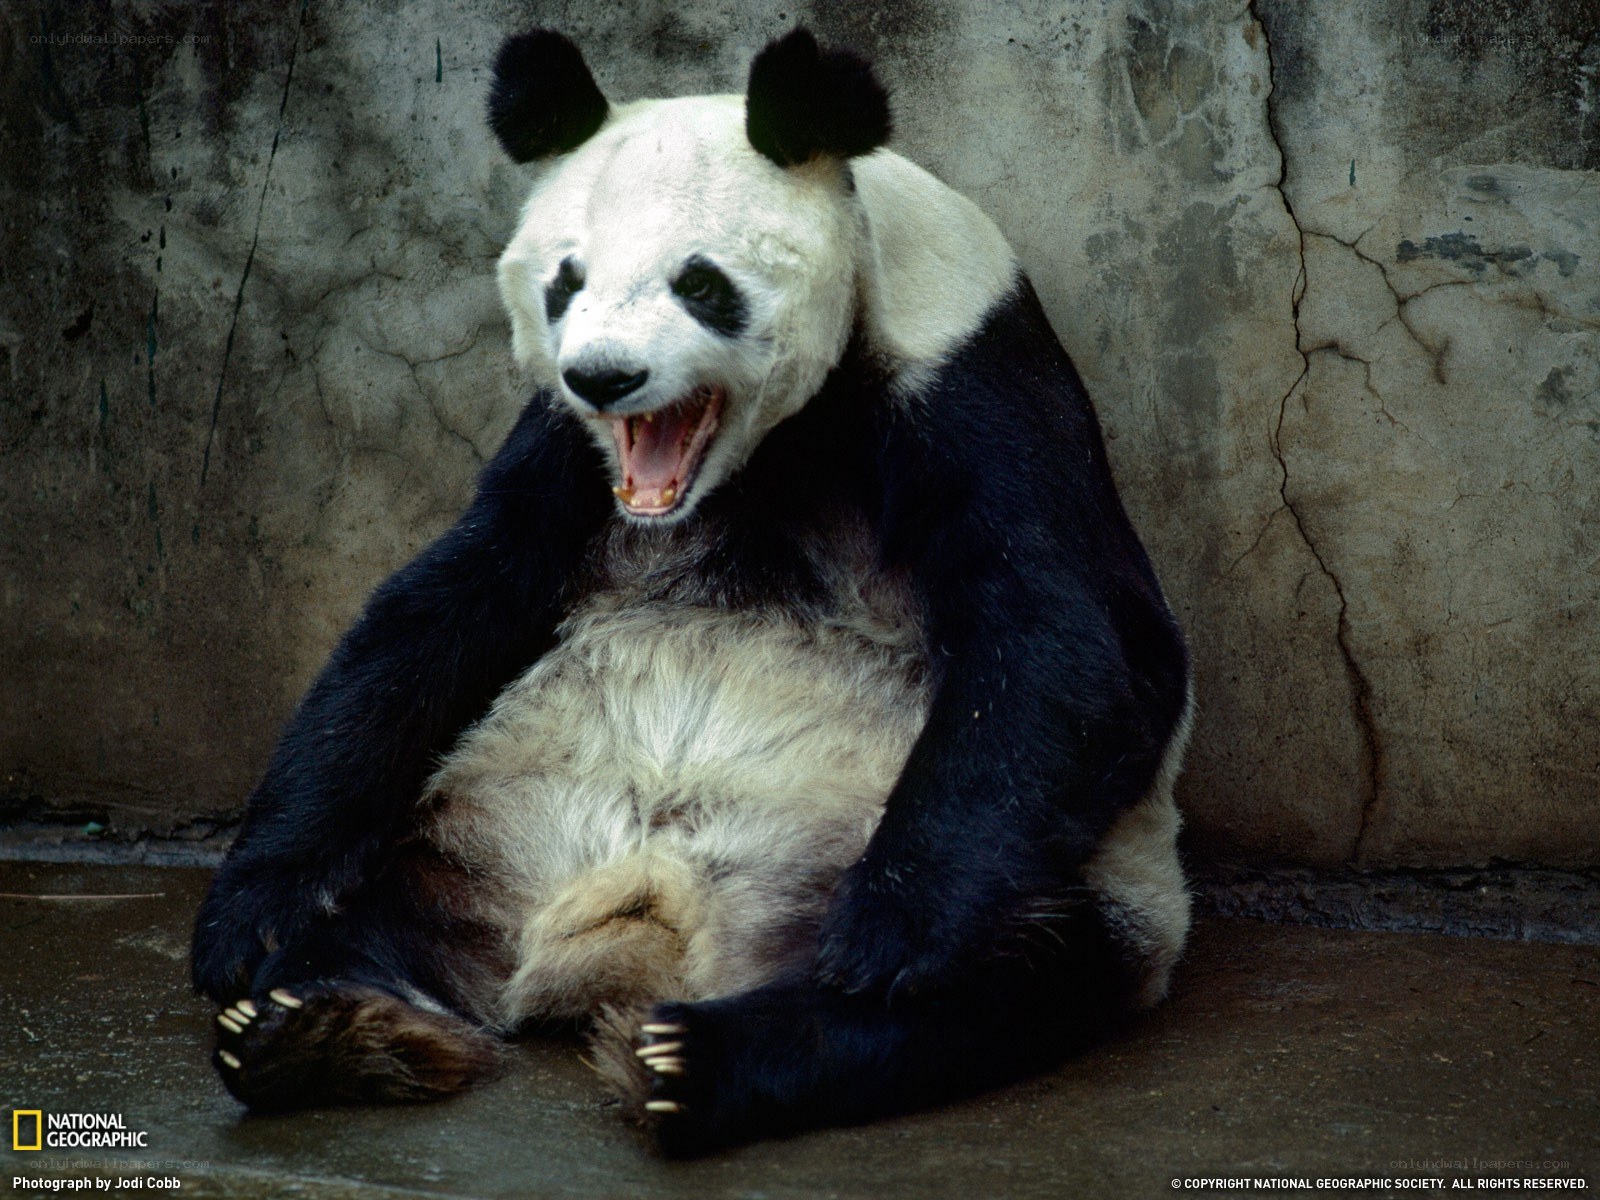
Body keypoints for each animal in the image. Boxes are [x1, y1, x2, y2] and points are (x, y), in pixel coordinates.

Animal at [191, 27, 1193, 1155]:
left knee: (996, 981)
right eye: (566, 282)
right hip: (472, 835)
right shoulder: (564, 453)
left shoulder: (970, 371)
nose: (605, 376)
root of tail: (650, 930)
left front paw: (890, 931)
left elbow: (1074, 638)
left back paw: (697, 1058)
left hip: (1069, 881)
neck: (766, 451)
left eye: (700, 283)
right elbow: (440, 609)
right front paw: (247, 918)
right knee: (376, 918)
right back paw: (316, 1025)